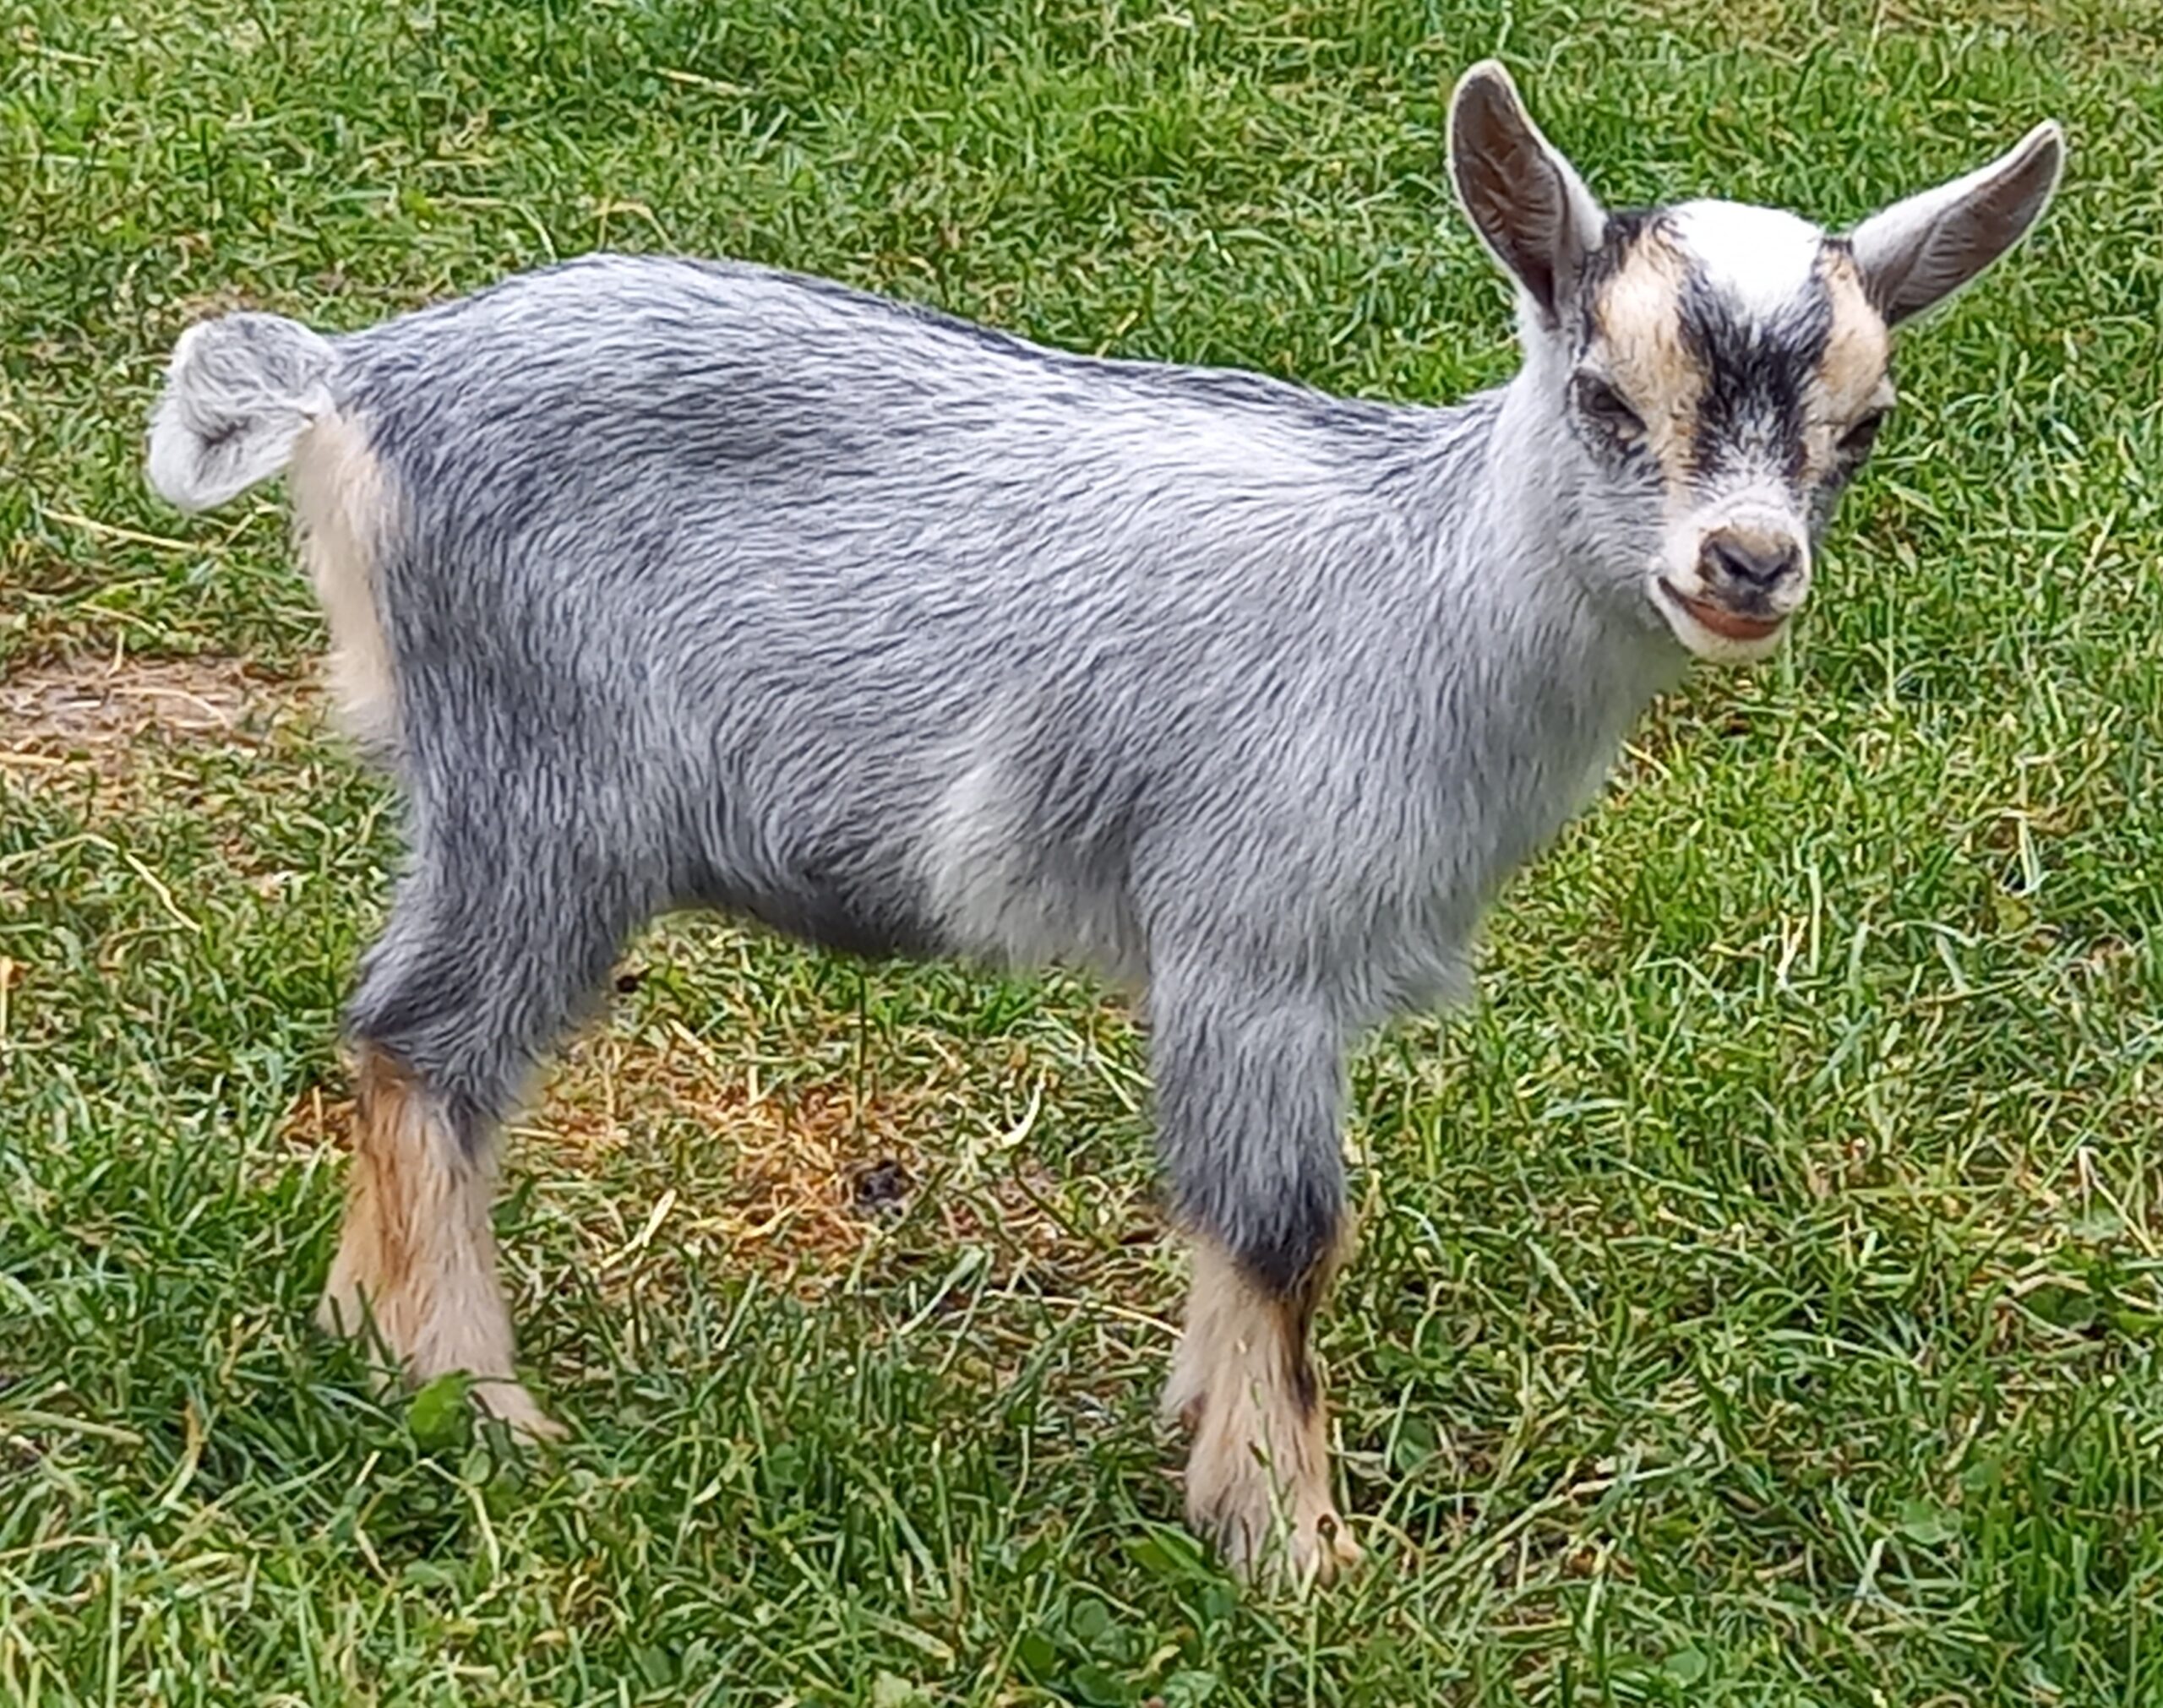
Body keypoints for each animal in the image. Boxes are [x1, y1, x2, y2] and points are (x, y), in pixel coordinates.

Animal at [145, 63, 2062, 1587]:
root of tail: (353, 379)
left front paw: (1213, 1449)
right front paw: (1294, 1548)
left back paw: (367, 1347)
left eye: (1862, 427)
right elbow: (1282, 1230)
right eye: (1606, 395)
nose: (1747, 566)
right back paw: (474, 1404)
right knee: (426, 1043)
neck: (1421, 596)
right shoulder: (1253, 940)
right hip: (542, 792)